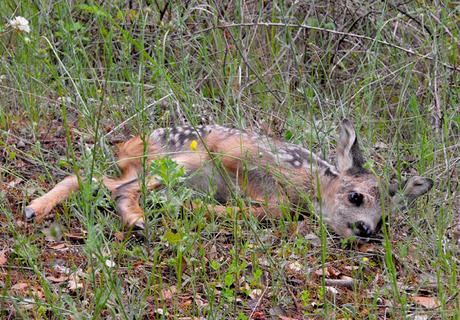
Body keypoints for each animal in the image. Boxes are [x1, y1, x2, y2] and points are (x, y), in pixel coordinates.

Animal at [27, 119, 434, 238]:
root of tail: (130, 145)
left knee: (91, 180)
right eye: (355, 198)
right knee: (121, 190)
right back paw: (143, 218)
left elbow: (266, 212)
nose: (367, 230)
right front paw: (201, 209)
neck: (312, 184)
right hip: (184, 159)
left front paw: (210, 210)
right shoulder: (239, 157)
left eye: (384, 220)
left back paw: (36, 208)